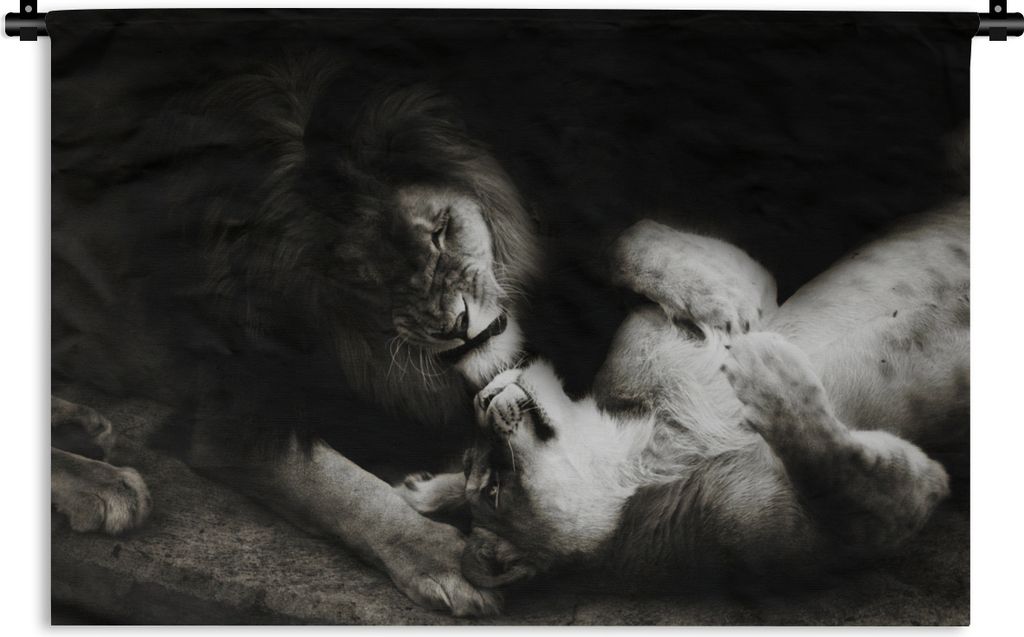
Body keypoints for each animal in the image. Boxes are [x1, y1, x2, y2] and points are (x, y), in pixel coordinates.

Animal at [396, 200, 967, 590]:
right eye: (493, 490)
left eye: (487, 476)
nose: (479, 402)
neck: (650, 449)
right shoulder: (845, 532)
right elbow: (836, 466)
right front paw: (766, 368)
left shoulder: (745, 287)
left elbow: (631, 237)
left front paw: (720, 304)